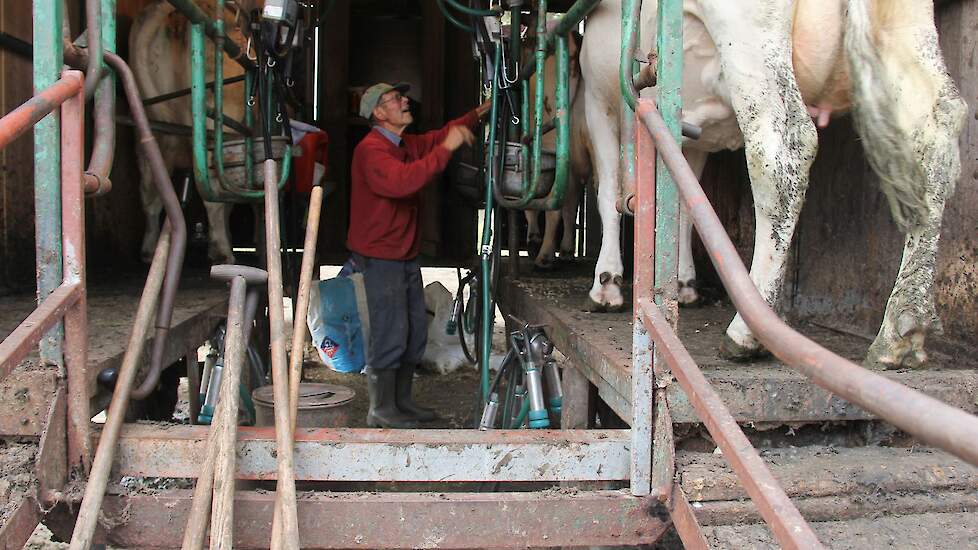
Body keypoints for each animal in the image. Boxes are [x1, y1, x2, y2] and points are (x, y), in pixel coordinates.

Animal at [576, 1, 964, 370]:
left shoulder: (598, 101)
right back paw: (903, 328)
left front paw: (606, 283)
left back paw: (748, 330)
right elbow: (685, 202)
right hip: (906, 38)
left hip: (752, 44)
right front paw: (684, 283)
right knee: (936, 136)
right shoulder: (689, 137)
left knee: (781, 151)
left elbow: (608, 193)